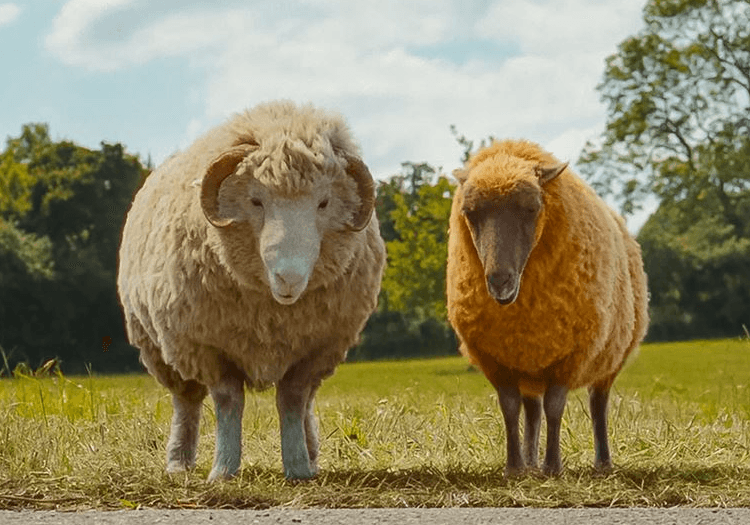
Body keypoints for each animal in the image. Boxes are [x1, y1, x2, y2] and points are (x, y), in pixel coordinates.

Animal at [116, 100, 386, 481]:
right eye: (256, 201)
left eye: (323, 203)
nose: (289, 278)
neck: (272, 312)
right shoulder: (209, 348)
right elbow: (229, 401)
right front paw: (224, 469)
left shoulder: (316, 350)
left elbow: (292, 400)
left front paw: (298, 467)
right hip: (162, 349)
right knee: (186, 402)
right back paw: (179, 461)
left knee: (306, 404)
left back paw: (311, 454)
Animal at [446, 139, 648, 475]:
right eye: (470, 213)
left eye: (531, 209)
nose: (499, 280)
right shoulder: (496, 360)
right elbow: (510, 409)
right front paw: (514, 467)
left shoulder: (570, 355)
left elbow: (555, 408)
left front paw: (553, 466)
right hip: (529, 363)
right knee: (532, 410)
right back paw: (530, 462)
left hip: (609, 358)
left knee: (598, 405)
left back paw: (602, 462)